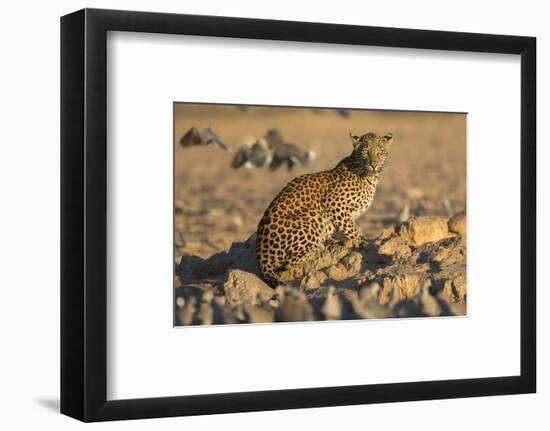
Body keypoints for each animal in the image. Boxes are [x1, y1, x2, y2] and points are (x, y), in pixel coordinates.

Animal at [256, 132, 394, 286]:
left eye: (380, 152)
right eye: (365, 152)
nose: (374, 165)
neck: (369, 176)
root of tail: (261, 255)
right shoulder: (334, 203)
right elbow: (351, 228)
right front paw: (361, 242)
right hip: (313, 215)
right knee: (289, 262)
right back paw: (320, 248)